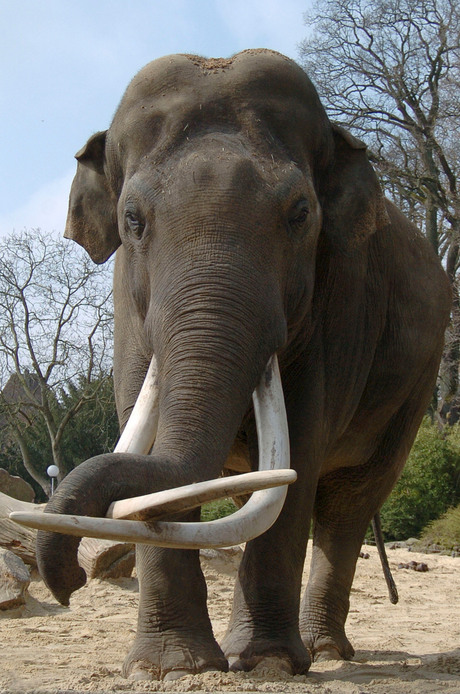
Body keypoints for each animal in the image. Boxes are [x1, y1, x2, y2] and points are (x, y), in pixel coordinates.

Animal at [23, 51, 452, 684]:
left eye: (300, 214)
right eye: (132, 220)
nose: (71, 582)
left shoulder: (336, 311)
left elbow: (298, 455)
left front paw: (267, 664)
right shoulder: (129, 310)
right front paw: (169, 670)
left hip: (418, 380)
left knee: (348, 503)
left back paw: (323, 650)